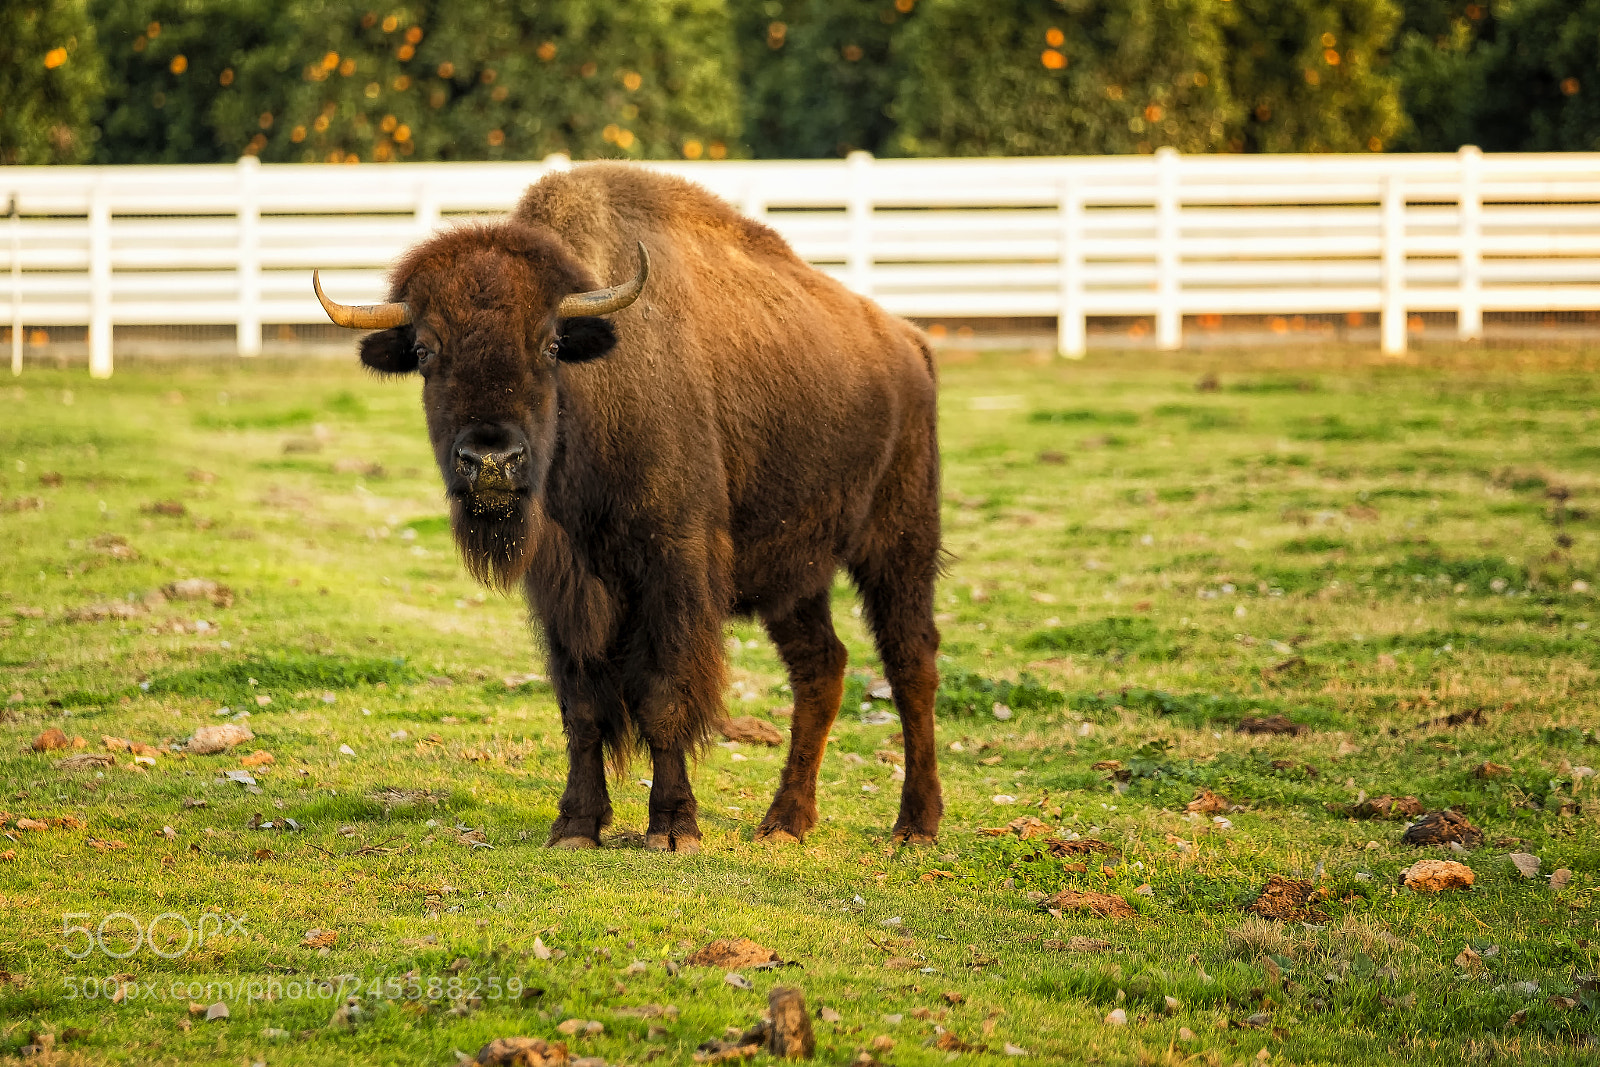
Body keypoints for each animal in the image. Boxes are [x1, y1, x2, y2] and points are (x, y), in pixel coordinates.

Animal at [314, 163, 942, 851]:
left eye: (550, 345)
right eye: (426, 351)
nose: (491, 461)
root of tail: (910, 343)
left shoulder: (673, 568)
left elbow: (662, 698)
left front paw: (672, 828)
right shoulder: (563, 586)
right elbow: (583, 707)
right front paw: (576, 826)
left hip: (899, 544)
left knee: (911, 664)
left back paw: (915, 824)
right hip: (796, 578)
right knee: (822, 669)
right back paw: (784, 822)